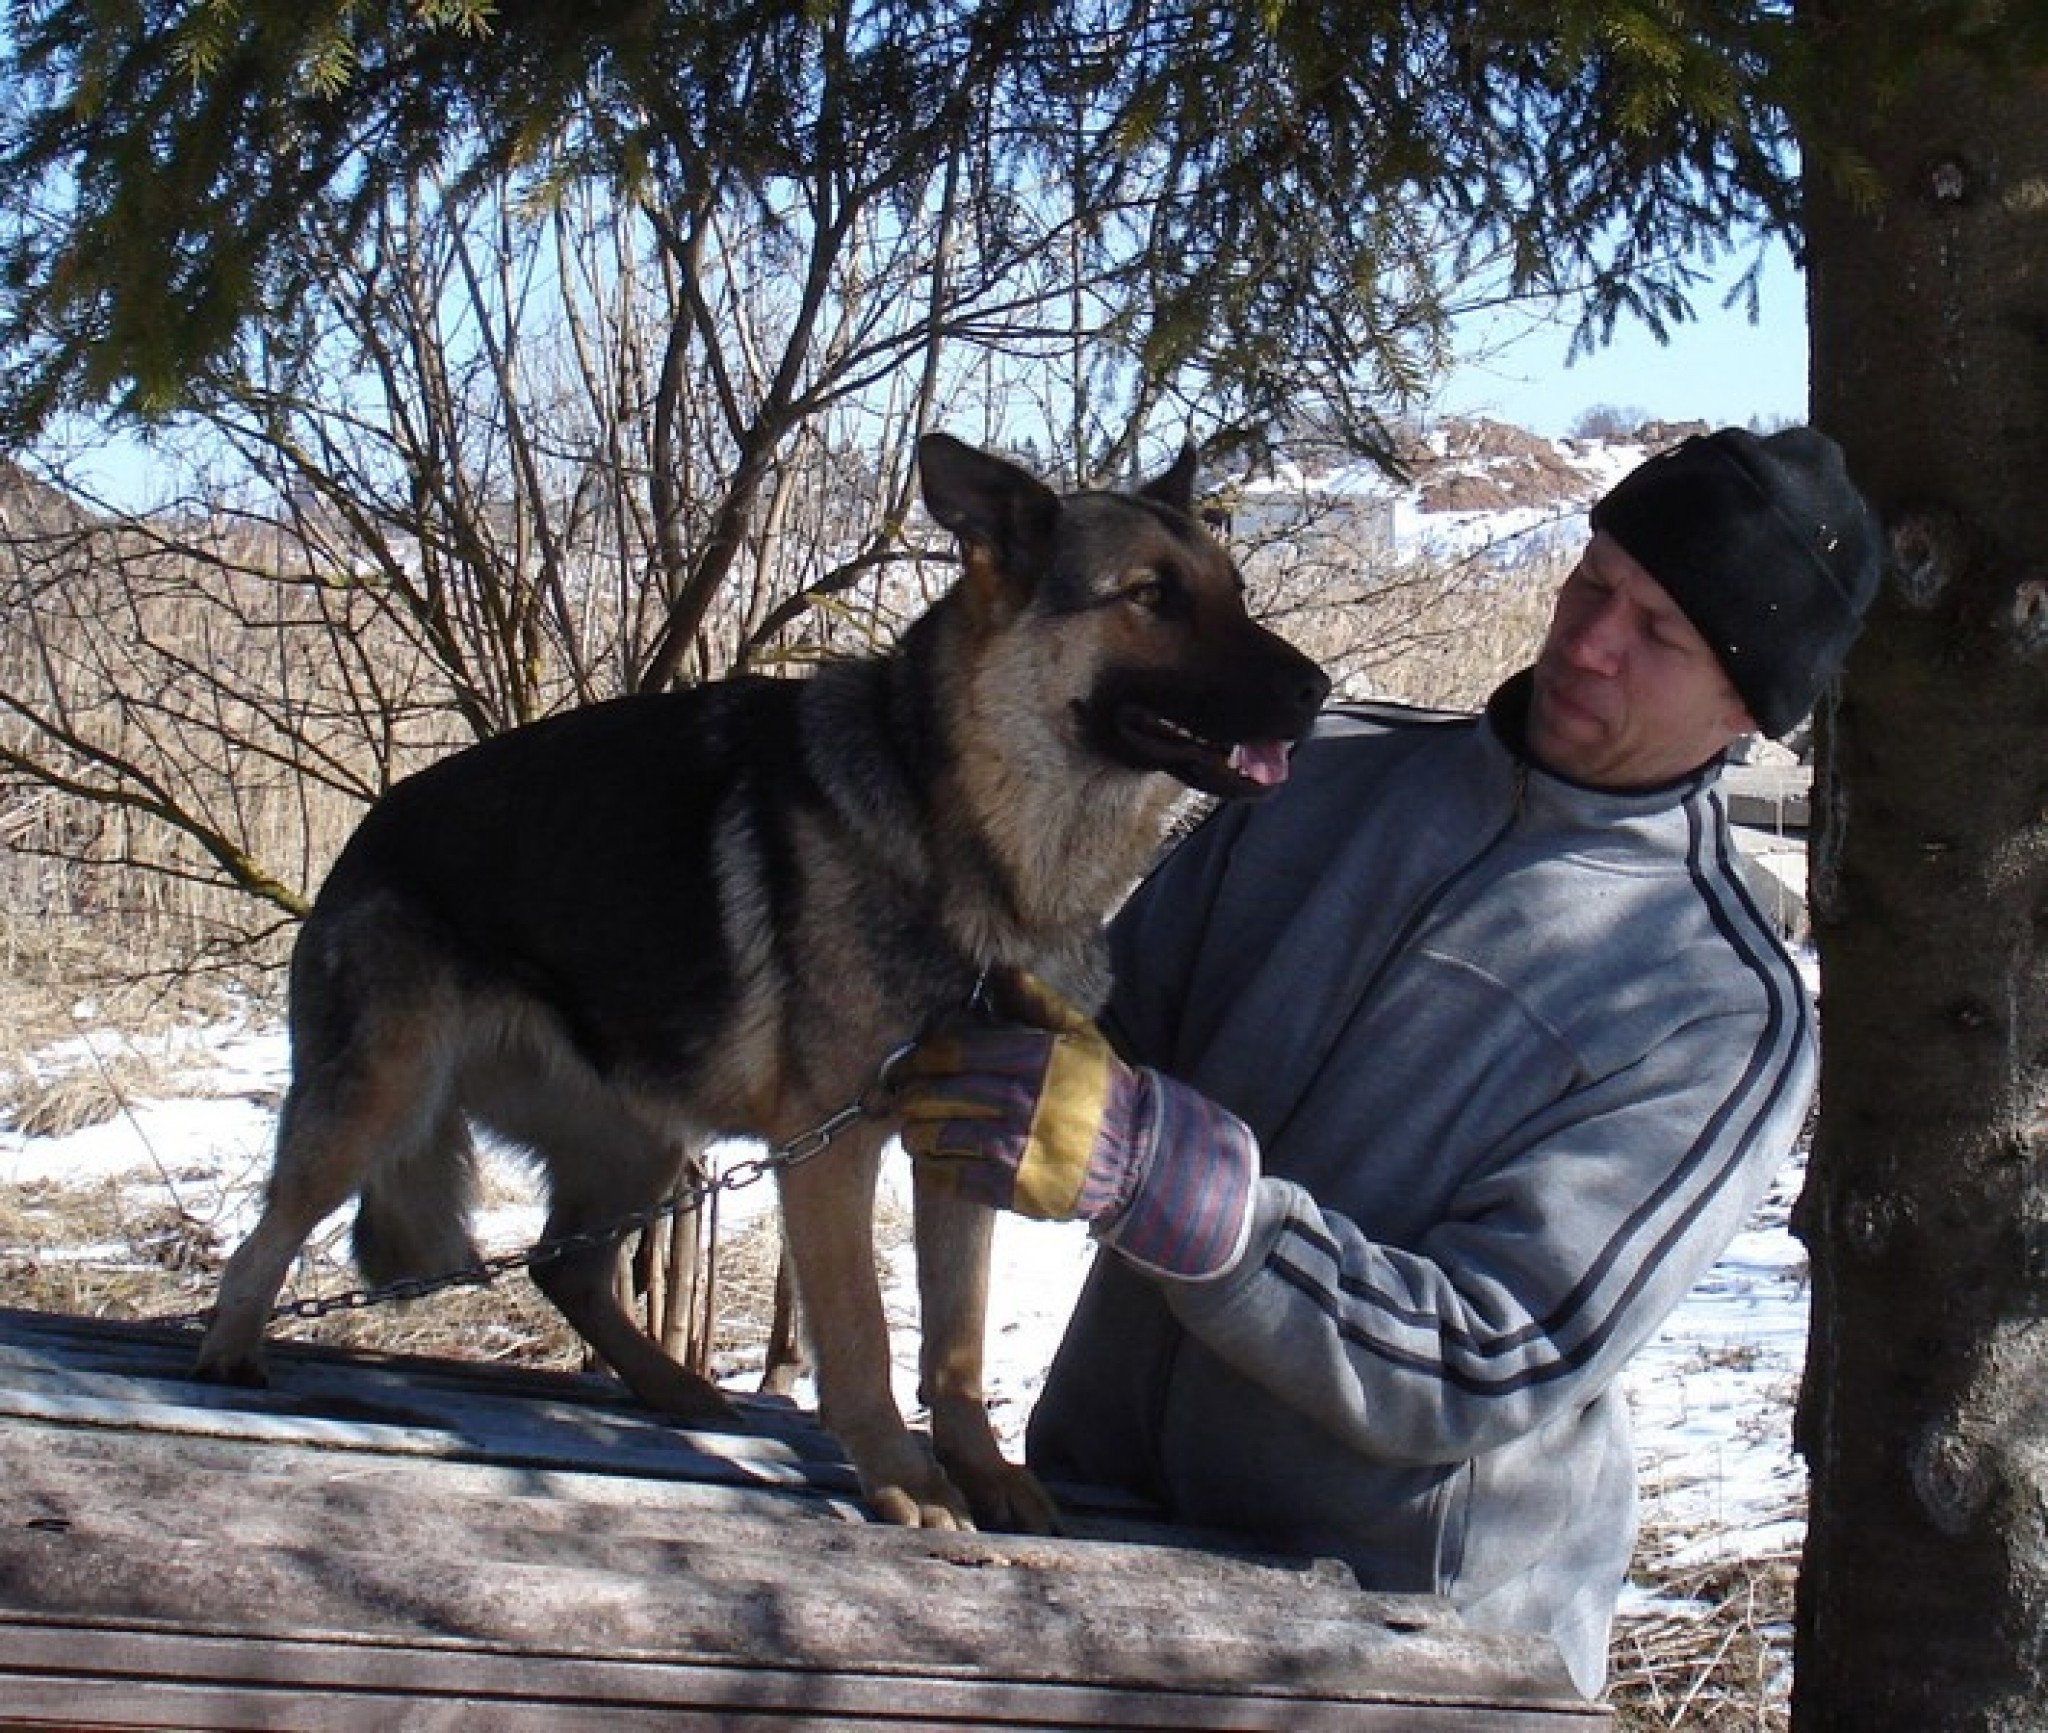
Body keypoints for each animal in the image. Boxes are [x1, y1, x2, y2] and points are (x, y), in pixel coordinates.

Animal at [195, 434, 1327, 1532]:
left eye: (1232, 590)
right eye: (1150, 595)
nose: (1315, 691)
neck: (965, 831)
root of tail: (368, 834)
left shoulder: (968, 1142)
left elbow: (954, 1345)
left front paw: (983, 1470)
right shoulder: (829, 1149)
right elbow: (865, 1335)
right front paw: (904, 1478)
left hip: (640, 1134)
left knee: (564, 1261)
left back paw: (673, 1386)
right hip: (377, 1102)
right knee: (268, 1233)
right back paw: (229, 1349)